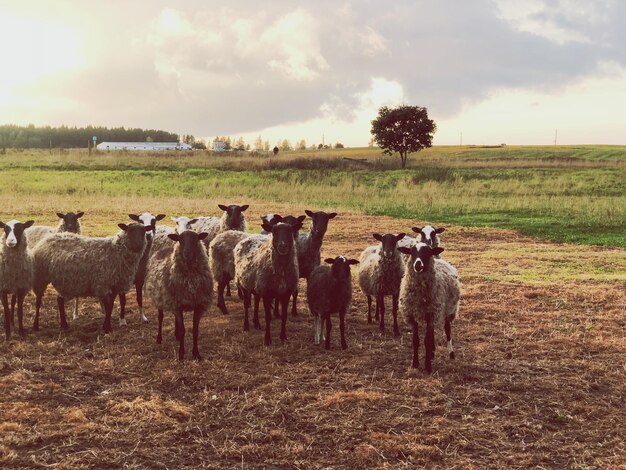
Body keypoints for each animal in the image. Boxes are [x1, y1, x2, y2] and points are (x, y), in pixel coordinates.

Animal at [146, 230, 212, 360]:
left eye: (196, 239)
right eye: (180, 240)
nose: (187, 254)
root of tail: (164, 248)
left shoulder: (198, 305)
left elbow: (195, 331)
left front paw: (196, 354)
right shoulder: (177, 305)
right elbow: (183, 330)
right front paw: (181, 354)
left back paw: (176, 336)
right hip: (160, 298)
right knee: (160, 318)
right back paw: (159, 338)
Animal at [400, 244, 458, 372]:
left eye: (427, 252)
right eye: (412, 252)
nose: (417, 265)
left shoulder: (431, 314)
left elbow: (426, 340)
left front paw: (427, 366)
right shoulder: (412, 315)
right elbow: (416, 341)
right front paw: (415, 363)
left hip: (448, 310)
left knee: (447, 330)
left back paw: (451, 353)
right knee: (432, 333)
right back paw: (432, 352)